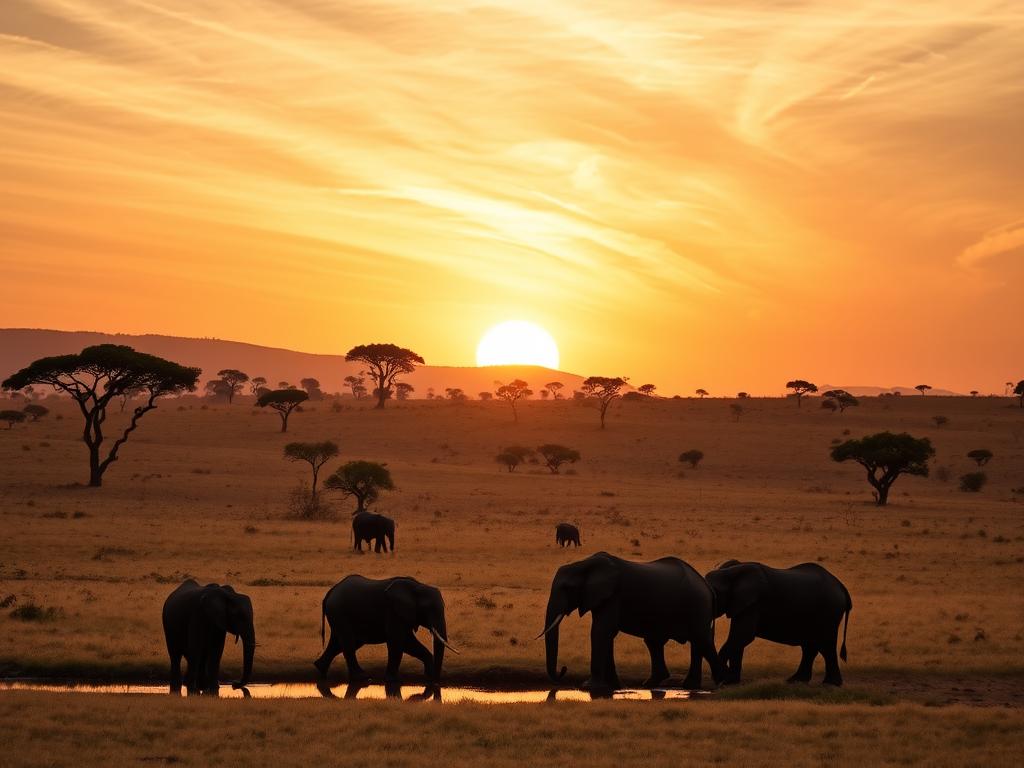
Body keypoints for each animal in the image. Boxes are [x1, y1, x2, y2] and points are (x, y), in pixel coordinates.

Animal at [313, 574, 457, 684]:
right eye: (429, 609)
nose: (436, 682)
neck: (417, 587)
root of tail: (330, 592)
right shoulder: (394, 611)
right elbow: (399, 641)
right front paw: (392, 680)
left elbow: (408, 643)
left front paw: (428, 675)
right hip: (339, 612)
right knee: (348, 642)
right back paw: (362, 678)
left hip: (338, 615)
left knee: (339, 643)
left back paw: (320, 670)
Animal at [539, 552, 724, 694]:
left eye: (567, 588)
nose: (563, 669)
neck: (584, 564)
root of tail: (708, 586)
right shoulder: (602, 597)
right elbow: (606, 633)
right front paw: (614, 686)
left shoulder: (613, 595)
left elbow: (601, 630)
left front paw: (589, 687)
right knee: (660, 642)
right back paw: (668, 685)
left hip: (698, 605)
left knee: (702, 641)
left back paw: (722, 683)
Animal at [704, 560, 852, 686]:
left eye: (714, 595)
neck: (730, 573)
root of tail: (842, 587)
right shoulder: (742, 604)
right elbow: (739, 638)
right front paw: (730, 682)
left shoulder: (754, 603)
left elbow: (742, 636)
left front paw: (723, 678)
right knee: (810, 647)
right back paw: (796, 681)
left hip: (829, 612)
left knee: (826, 646)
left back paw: (829, 684)